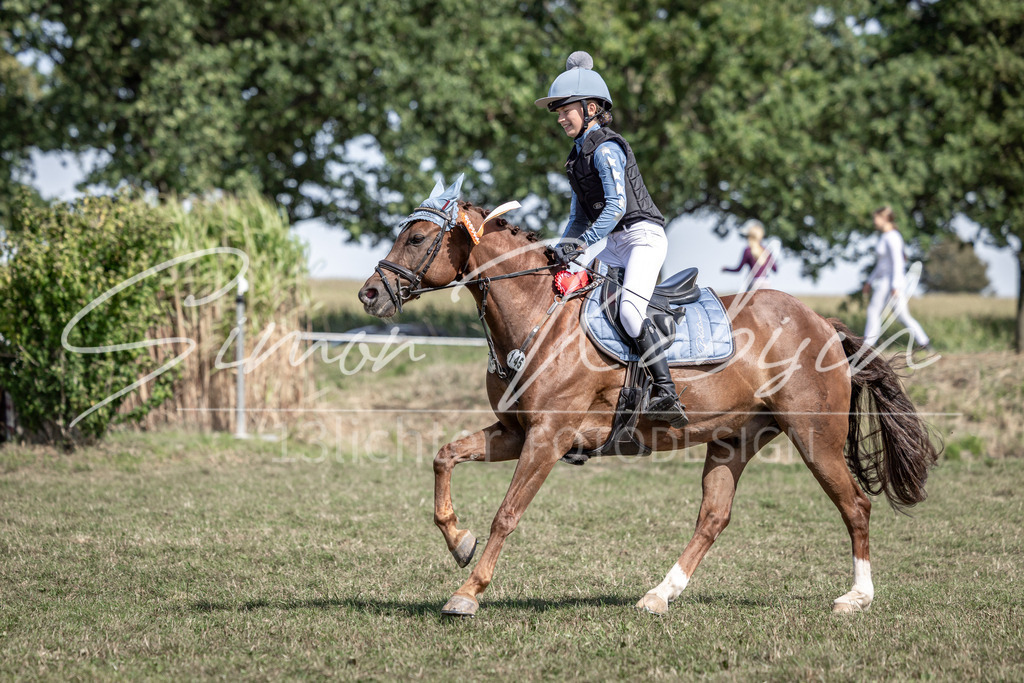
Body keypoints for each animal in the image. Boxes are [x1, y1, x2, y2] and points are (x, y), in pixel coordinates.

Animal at [357, 189, 938, 618]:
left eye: (416, 237)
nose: (370, 294)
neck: (538, 314)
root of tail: (819, 322)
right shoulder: (516, 432)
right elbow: (445, 456)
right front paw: (459, 541)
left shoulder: (547, 437)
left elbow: (507, 513)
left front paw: (467, 593)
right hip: (735, 439)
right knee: (714, 517)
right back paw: (660, 594)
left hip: (815, 438)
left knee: (855, 505)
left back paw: (856, 598)